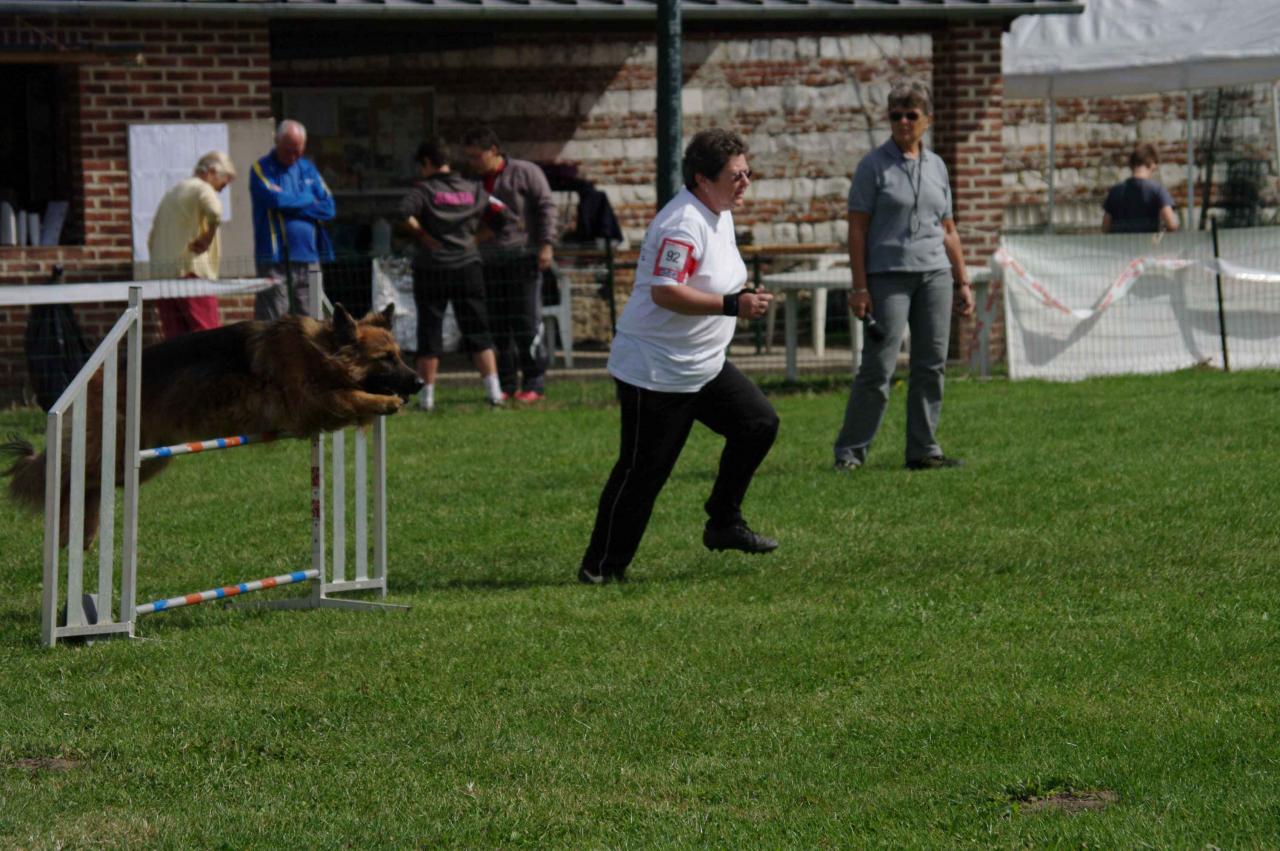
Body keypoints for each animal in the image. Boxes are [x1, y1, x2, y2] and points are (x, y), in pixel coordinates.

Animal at [5, 300, 424, 537]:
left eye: (400, 355)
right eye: (386, 358)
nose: (420, 382)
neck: (319, 350)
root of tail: (94, 376)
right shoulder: (309, 400)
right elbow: (349, 395)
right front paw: (384, 401)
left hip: (144, 463)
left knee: (88, 484)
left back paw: (83, 532)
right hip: (119, 452)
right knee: (66, 476)